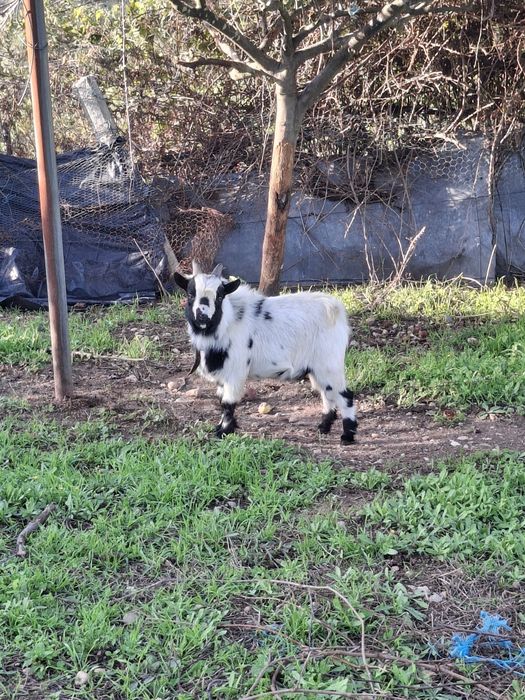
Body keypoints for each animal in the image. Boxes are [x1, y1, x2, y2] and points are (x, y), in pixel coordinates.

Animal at [173, 262, 357, 444]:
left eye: (219, 297)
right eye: (190, 294)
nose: (202, 316)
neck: (228, 323)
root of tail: (335, 309)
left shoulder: (235, 371)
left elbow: (228, 403)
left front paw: (224, 432)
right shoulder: (222, 375)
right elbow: (221, 400)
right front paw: (221, 428)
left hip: (329, 364)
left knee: (344, 395)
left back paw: (347, 436)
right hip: (316, 368)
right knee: (327, 394)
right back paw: (323, 427)